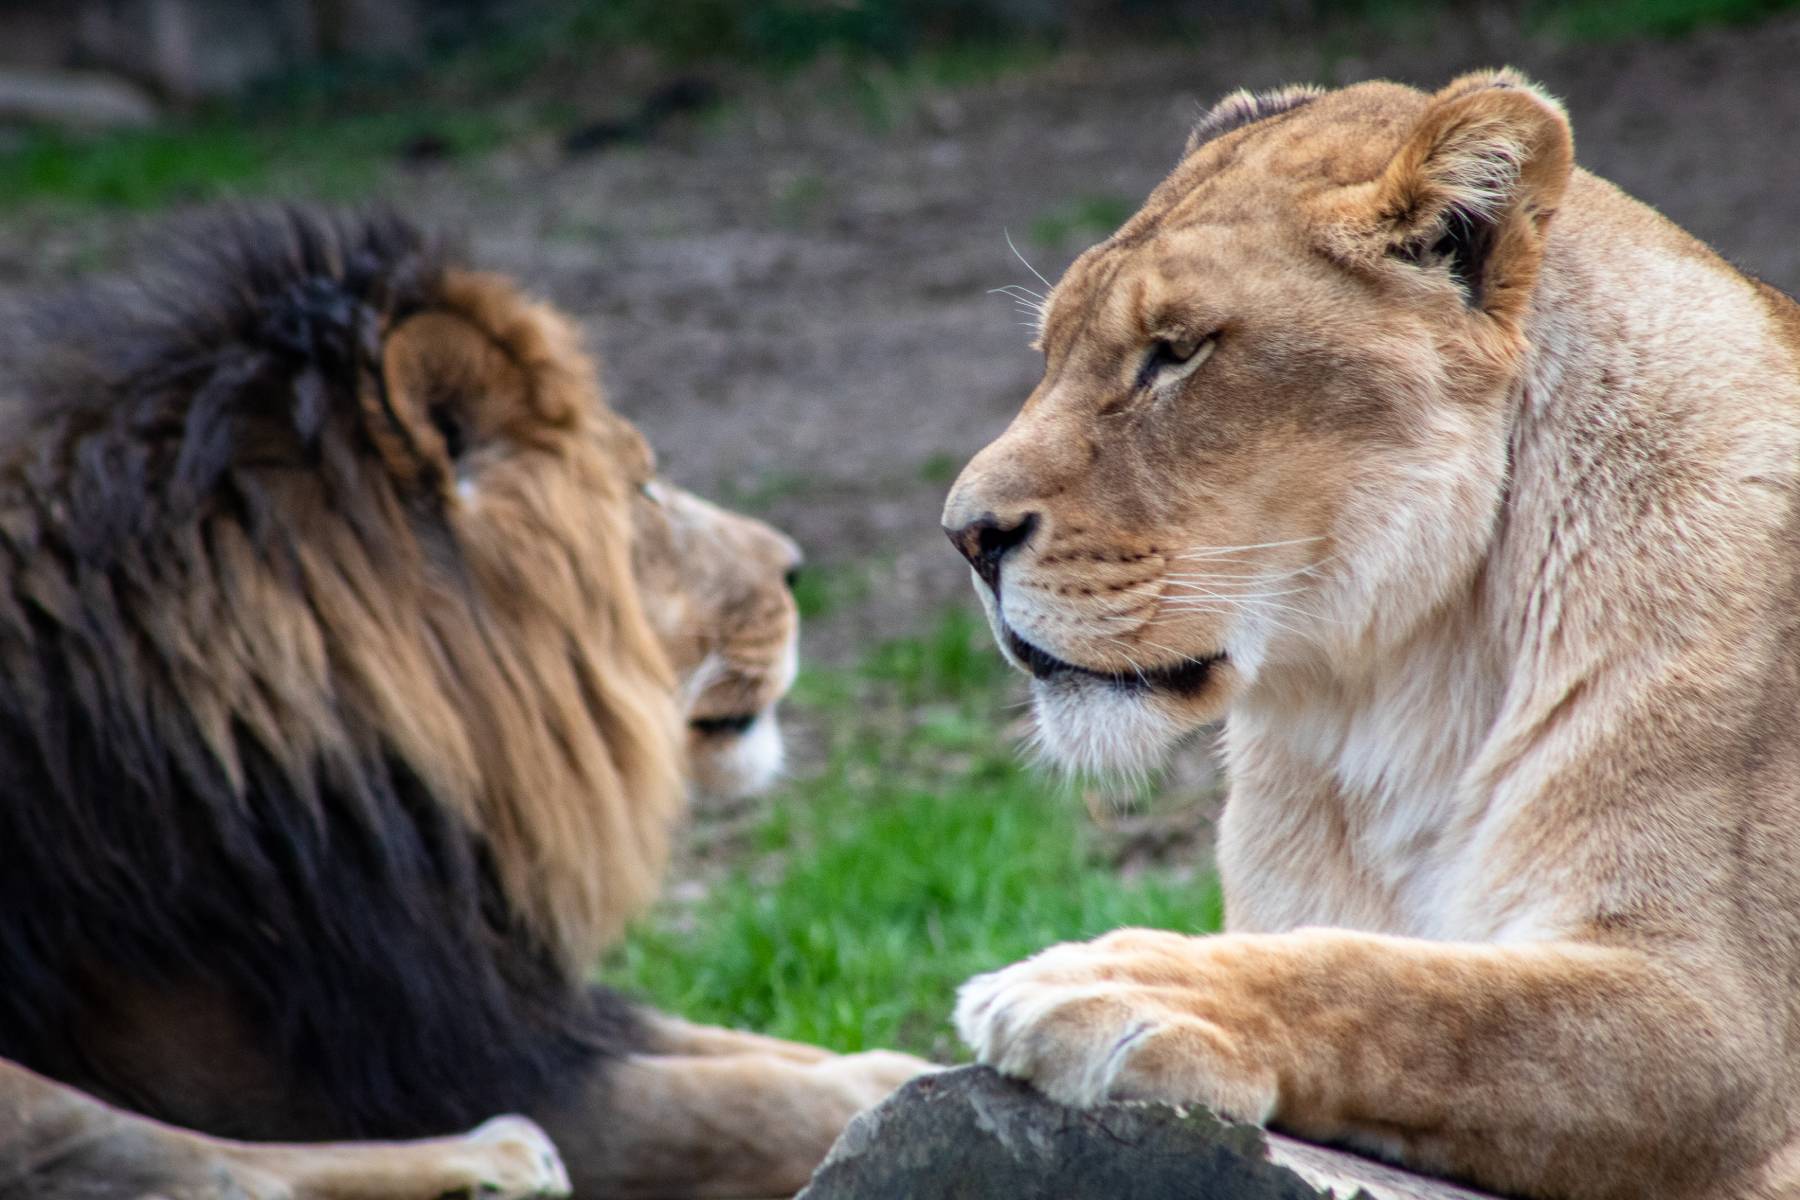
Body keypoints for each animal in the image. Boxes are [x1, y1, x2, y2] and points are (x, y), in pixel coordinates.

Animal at [0, 211, 921, 1200]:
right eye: (639, 487)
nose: (795, 566)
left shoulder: (499, 1002)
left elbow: (758, 1050)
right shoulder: (353, 1064)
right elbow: (737, 1107)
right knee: (171, 1164)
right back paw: (494, 1158)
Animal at [943, 75, 1800, 1200]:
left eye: (1176, 351)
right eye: (1049, 356)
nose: (963, 535)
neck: (1403, 696)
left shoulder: (1730, 1031)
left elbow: (1416, 995)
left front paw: (1122, 980)